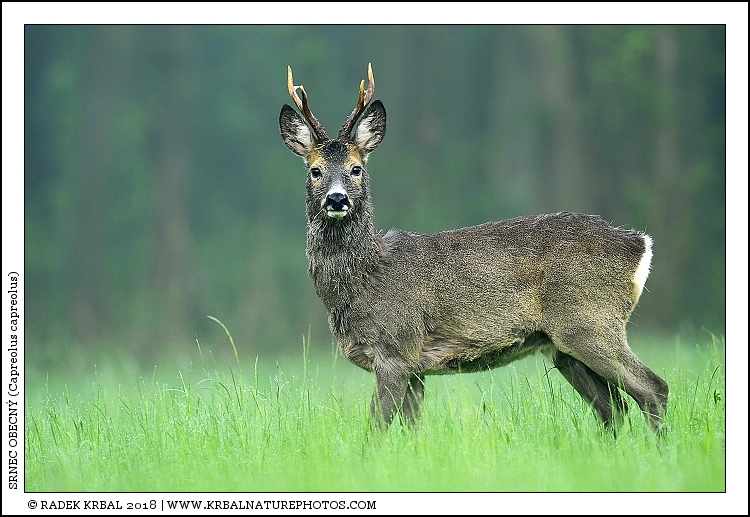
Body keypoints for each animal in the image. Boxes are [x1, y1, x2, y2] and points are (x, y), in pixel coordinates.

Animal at [279, 63, 669, 434]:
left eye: (356, 168)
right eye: (315, 170)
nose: (337, 199)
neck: (364, 278)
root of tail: (639, 244)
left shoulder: (396, 348)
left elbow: (376, 427)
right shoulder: (416, 367)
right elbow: (411, 431)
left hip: (590, 322)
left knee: (653, 389)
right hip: (563, 347)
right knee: (613, 407)